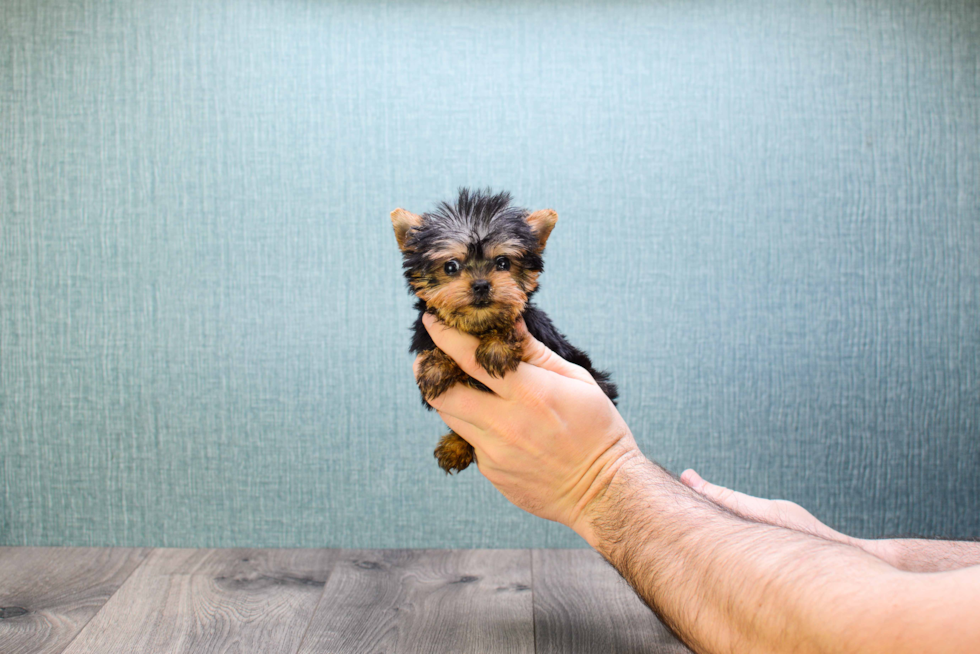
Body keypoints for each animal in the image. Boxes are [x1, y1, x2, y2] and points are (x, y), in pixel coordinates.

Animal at [388, 187, 612, 474]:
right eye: (451, 266)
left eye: (503, 263)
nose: (482, 285)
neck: (478, 327)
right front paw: (437, 365)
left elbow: (510, 324)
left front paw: (497, 346)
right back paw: (455, 445)